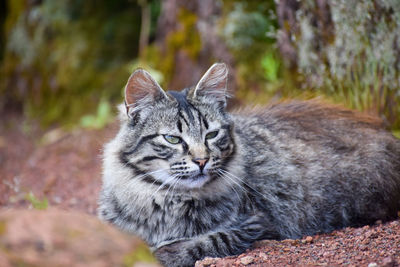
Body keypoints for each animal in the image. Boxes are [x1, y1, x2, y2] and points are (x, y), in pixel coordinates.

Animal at [98, 63, 400, 267]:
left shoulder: (257, 222)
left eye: (211, 135)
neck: (166, 200)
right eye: (172, 138)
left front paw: (162, 252)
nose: (202, 160)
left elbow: (208, 240)